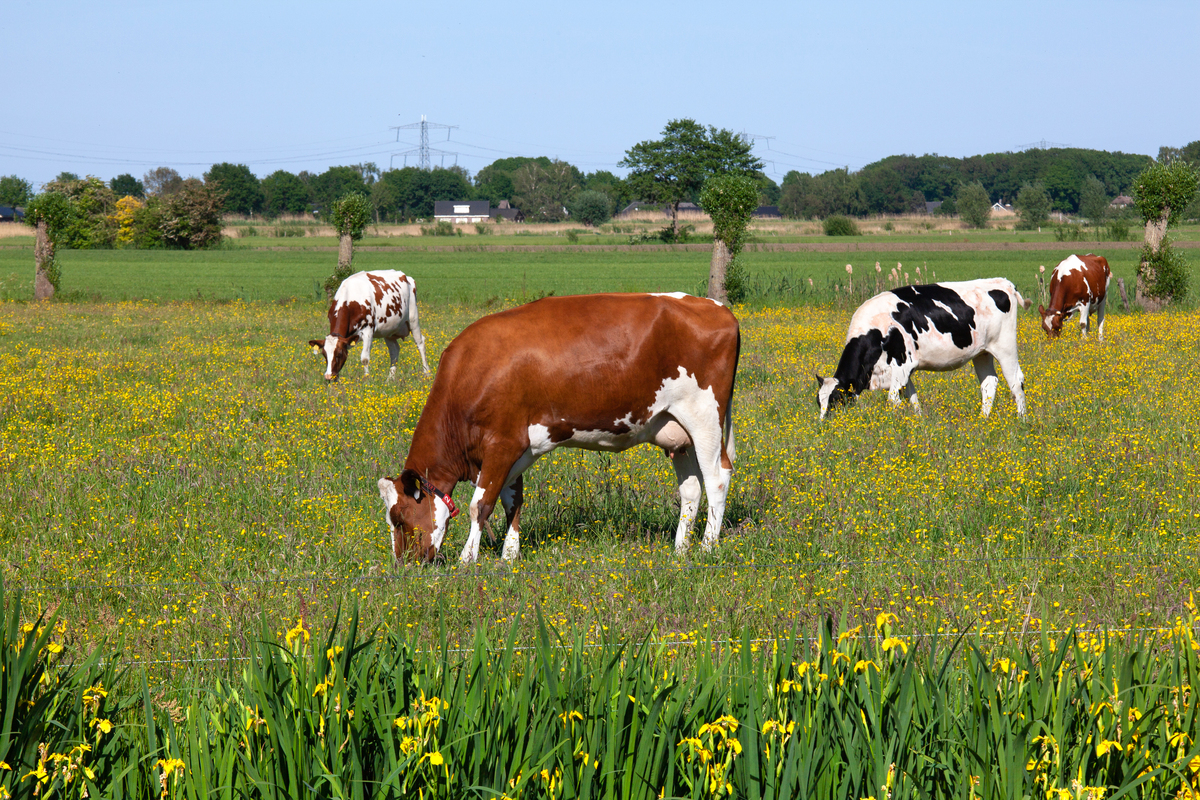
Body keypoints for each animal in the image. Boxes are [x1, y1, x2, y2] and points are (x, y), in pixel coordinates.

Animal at [376, 292, 739, 563]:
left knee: (717, 478)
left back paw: (707, 548)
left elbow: (479, 505)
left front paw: (468, 560)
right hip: (676, 430)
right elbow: (512, 500)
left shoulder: (502, 443)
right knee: (691, 488)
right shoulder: (515, 448)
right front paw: (509, 557)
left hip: (705, 417)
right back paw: (679, 551)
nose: (404, 565)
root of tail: (717, 307)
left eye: (400, 518)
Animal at [816, 278, 1032, 419]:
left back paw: (1021, 419)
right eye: (819, 402)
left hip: (1005, 346)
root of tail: (1004, 282)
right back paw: (982, 420)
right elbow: (912, 398)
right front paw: (918, 423)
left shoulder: (902, 365)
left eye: (836, 400)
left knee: (1016, 381)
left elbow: (893, 400)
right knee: (989, 383)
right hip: (982, 352)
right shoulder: (903, 372)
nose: (824, 425)